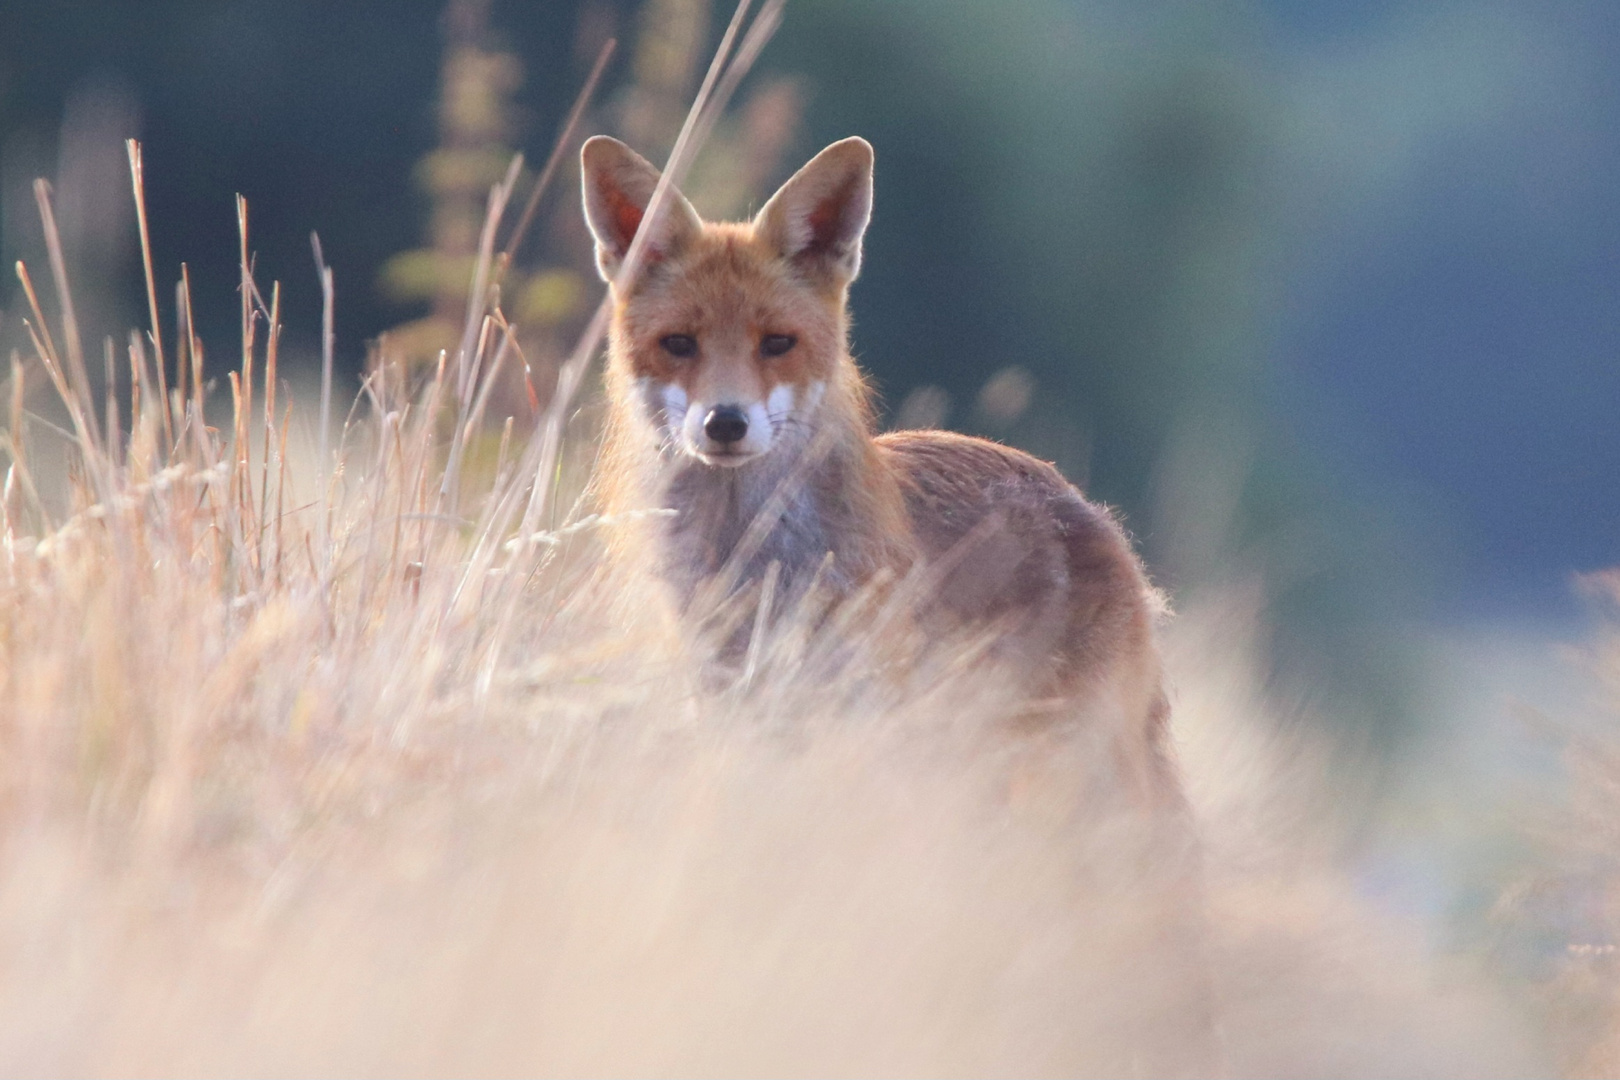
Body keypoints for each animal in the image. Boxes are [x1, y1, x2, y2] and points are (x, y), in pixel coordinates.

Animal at [580, 134, 1180, 810]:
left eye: (777, 343)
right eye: (679, 344)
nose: (725, 422)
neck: (755, 562)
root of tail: (1086, 508)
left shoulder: (859, 716)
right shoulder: (730, 704)